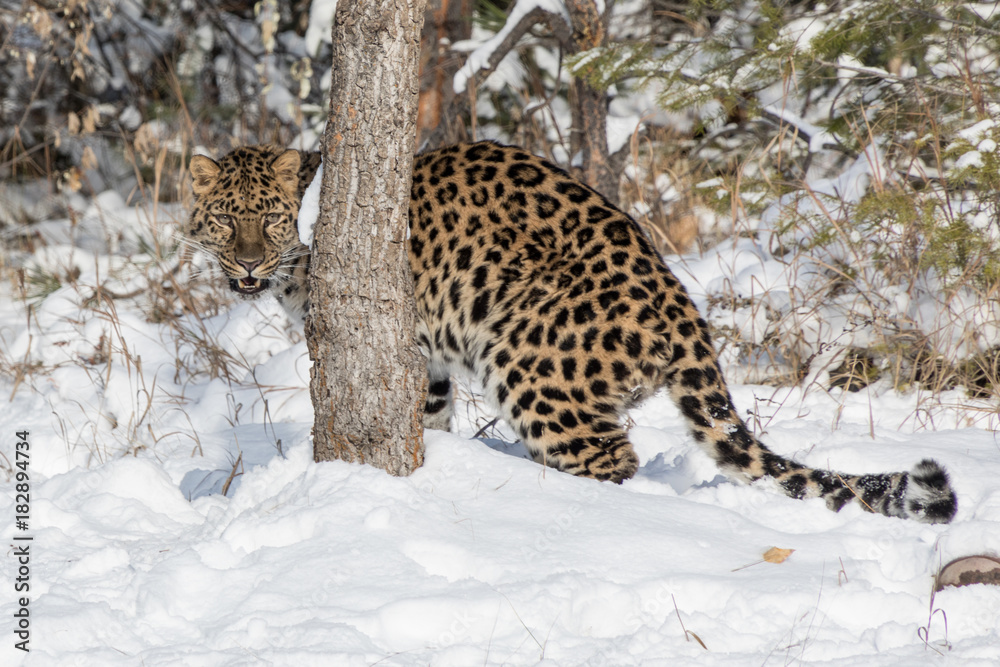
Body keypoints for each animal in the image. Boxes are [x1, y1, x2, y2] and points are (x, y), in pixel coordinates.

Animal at [185, 141, 958, 524]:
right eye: (224, 218)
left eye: (271, 217)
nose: (248, 261)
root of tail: (682, 306)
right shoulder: (425, 363)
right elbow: (426, 417)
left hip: (529, 367)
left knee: (610, 459)